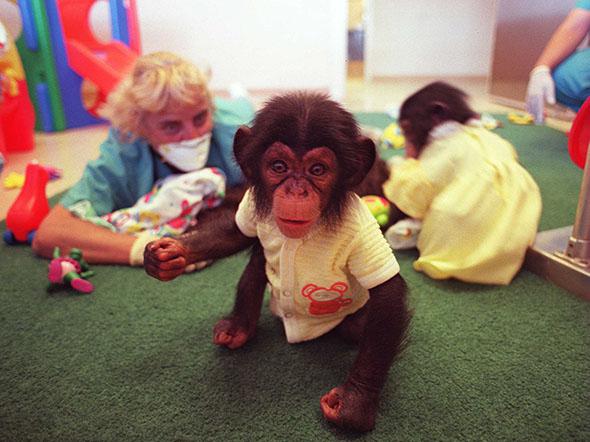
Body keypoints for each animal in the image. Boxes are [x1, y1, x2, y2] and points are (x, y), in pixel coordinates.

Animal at [144, 91, 412, 434]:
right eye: (279, 166)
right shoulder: (248, 206)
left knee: (357, 327)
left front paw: (355, 402)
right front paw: (173, 252)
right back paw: (240, 325)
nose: (296, 189)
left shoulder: (361, 230)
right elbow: (232, 231)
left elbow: (387, 293)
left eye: (318, 170)